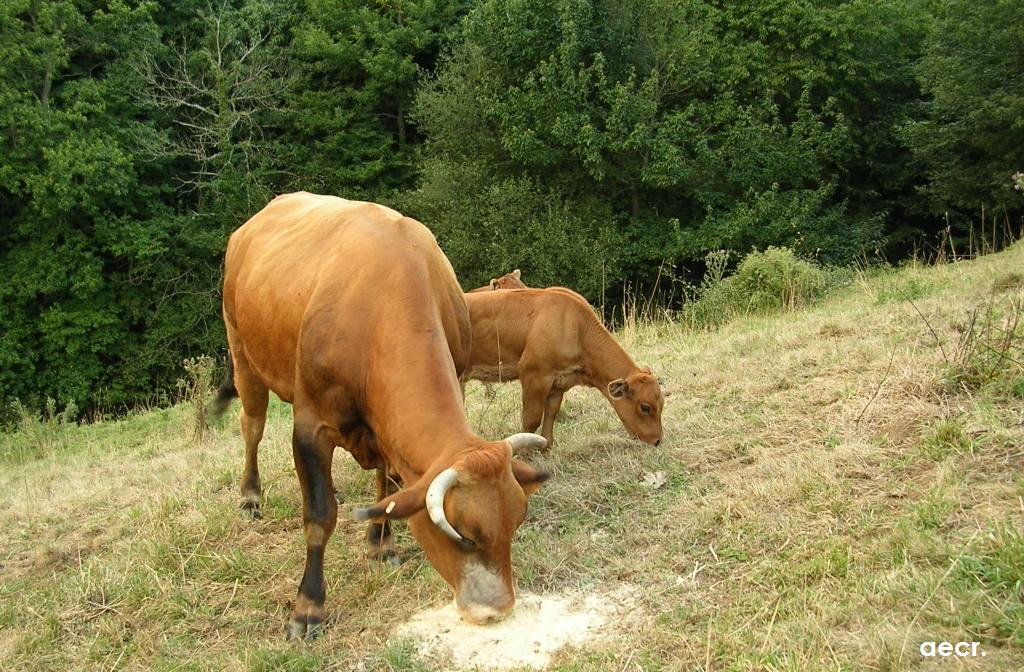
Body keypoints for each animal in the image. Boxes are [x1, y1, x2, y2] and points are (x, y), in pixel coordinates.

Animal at [218, 192, 552, 639]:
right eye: (464, 534)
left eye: (516, 523)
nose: (498, 610)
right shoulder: (310, 425)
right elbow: (319, 515)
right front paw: (308, 606)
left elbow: (390, 489)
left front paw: (380, 543)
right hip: (243, 355)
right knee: (251, 426)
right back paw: (250, 497)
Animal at [462, 286, 663, 446]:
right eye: (645, 407)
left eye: (661, 403)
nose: (657, 440)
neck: (576, 326)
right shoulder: (534, 375)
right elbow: (531, 419)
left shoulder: (559, 382)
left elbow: (551, 414)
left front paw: (546, 448)